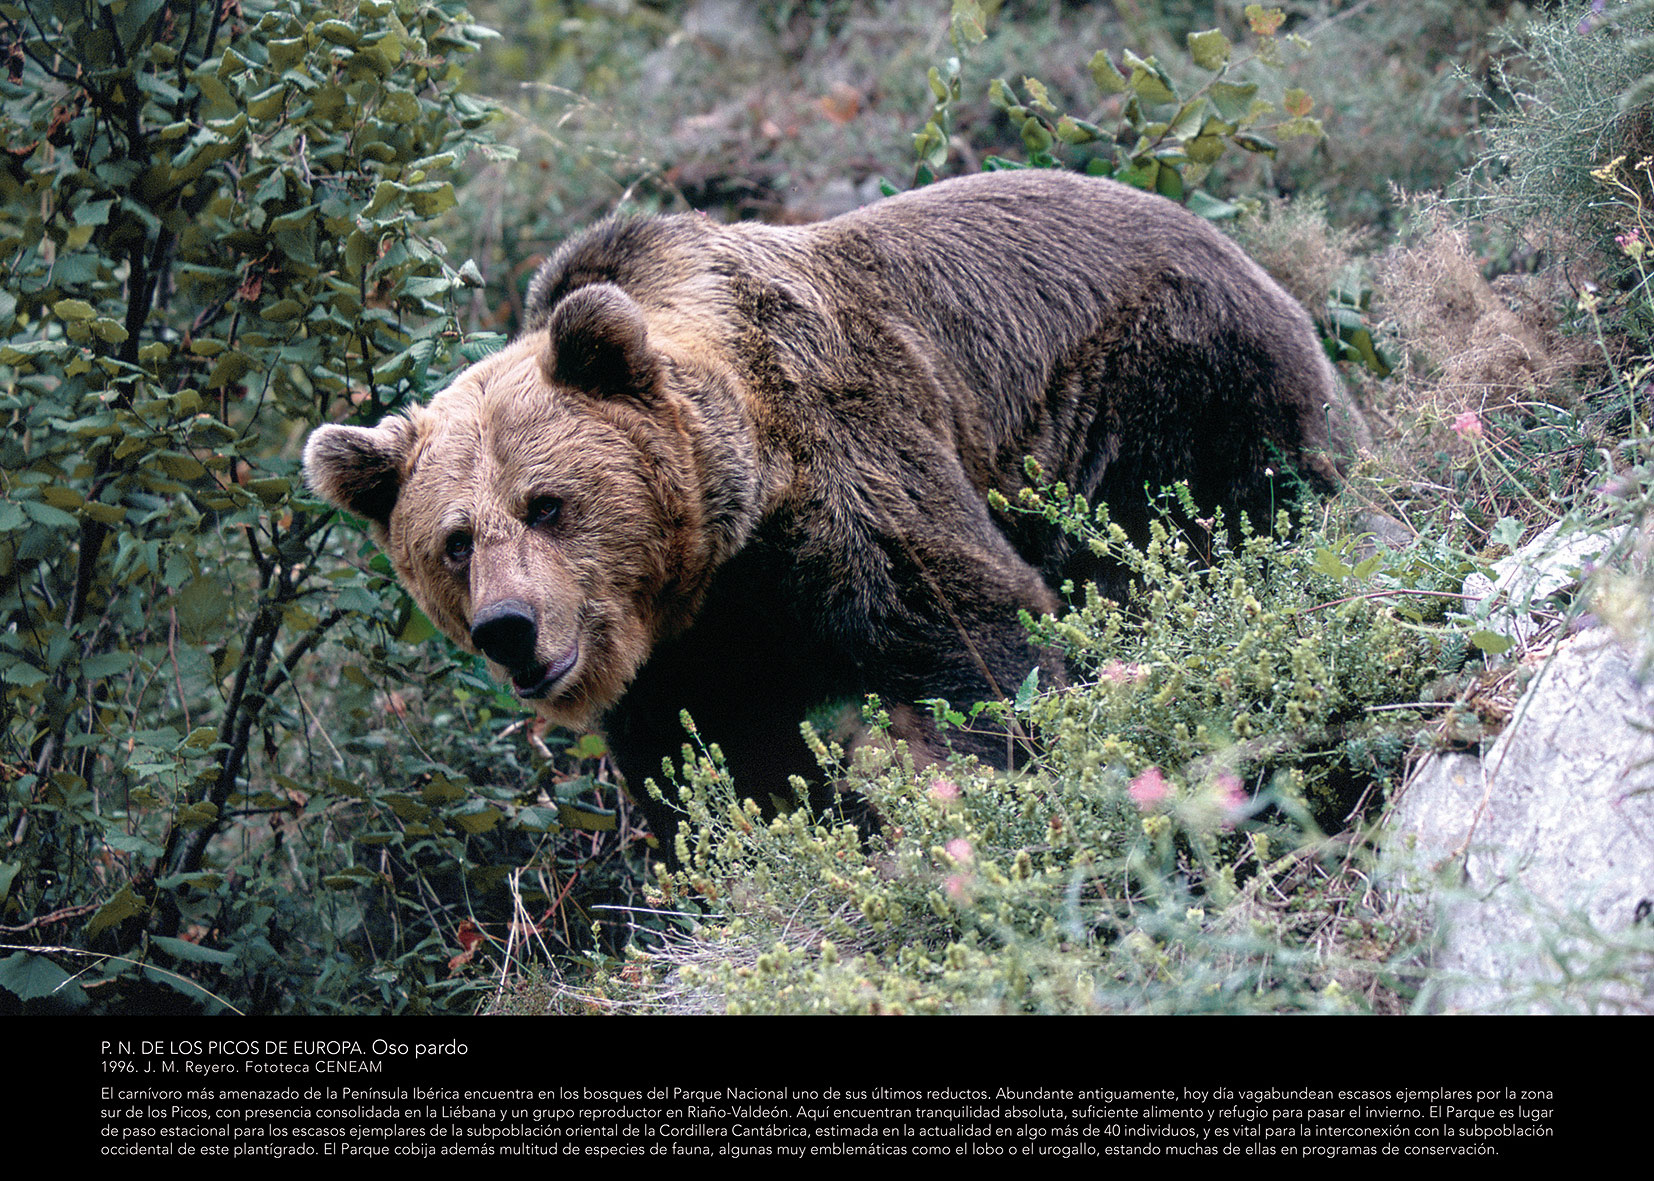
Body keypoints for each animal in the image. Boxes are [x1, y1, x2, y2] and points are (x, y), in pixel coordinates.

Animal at [304, 170, 1362, 860]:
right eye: (454, 543)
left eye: (548, 503)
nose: (510, 627)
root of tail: (1247, 250)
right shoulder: (694, 648)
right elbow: (720, 767)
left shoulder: (850, 468)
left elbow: (974, 634)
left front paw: (992, 795)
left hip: (1172, 386)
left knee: (1243, 504)